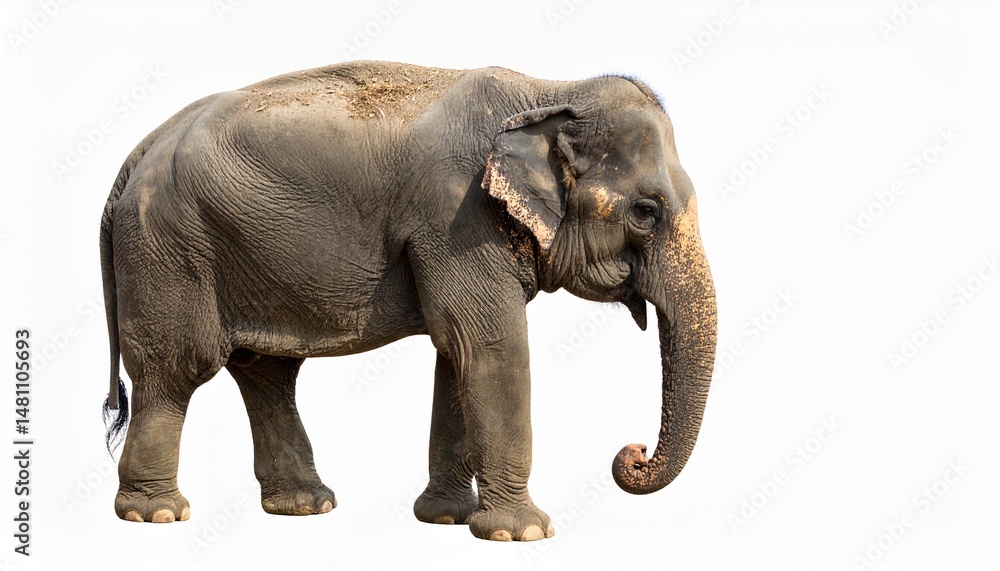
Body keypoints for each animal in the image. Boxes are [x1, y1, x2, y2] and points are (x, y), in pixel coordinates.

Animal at [99, 60, 718, 541]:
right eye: (645, 212)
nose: (633, 454)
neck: (548, 89)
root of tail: (137, 153)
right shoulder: (456, 217)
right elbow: (490, 343)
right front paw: (522, 533)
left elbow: (456, 352)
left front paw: (446, 519)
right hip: (168, 246)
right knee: (179, 367)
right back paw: (156, 515)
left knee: (266, 372)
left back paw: (305, 506)